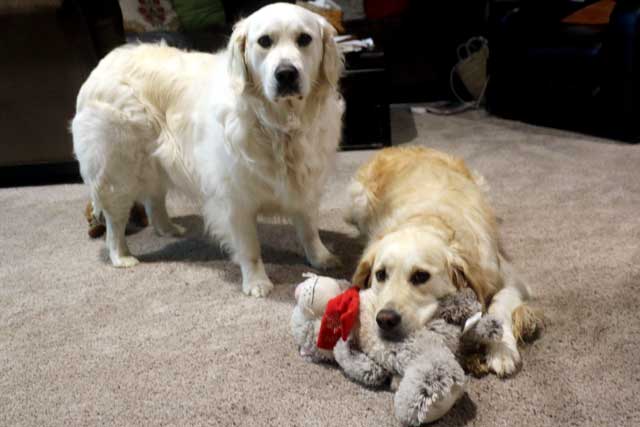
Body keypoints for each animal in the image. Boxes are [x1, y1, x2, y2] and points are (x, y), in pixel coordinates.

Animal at [73, 3, 344, 298]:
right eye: (264, 41)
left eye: (304, 39)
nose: (286, 73)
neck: (279, 124)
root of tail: (103, 63)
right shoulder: (234, 199)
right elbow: (250, 248)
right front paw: (256, 282)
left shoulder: (305, 184)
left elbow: (308, 228)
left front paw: (320, 257)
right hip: (117, 172)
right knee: (115, 222)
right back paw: (121, 256)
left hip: (155, 163)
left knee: (154, 200)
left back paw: (168, 229)